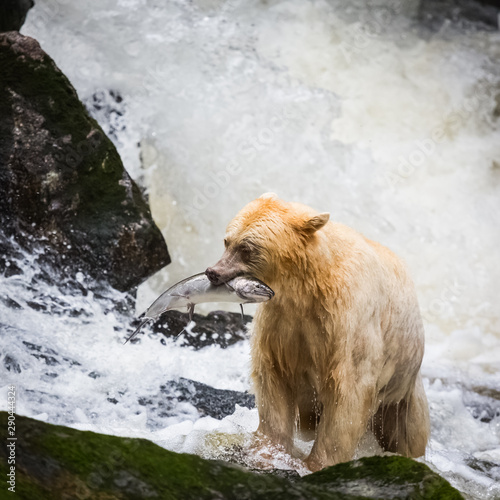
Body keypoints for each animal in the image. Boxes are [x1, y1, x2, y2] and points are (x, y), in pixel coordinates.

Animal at [207, 193, 430, 470]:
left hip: (401, 390)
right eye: (227, 241)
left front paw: (316, 464)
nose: (213, 272)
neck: (303, 285)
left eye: (246, 248)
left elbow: (349, 389)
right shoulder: (281, 322)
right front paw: (267, 451)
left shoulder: (345, 317)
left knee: (407, 433)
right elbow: (273, 379)